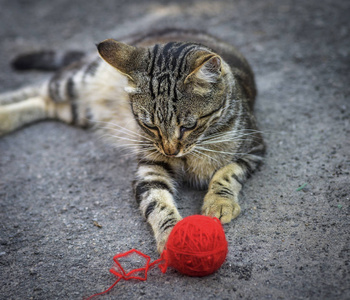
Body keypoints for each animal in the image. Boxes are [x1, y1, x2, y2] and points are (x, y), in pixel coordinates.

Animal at [0, 28, 262, 253]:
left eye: (188, 126)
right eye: (150, 125)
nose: (170, 151)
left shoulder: (254, 147)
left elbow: (227, 172)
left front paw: (219, 203)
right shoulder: (150, 167)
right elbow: (157, 202)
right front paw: (172, 238)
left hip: (77, 110)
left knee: (44, 102)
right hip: (75, 82)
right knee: (37, 90)